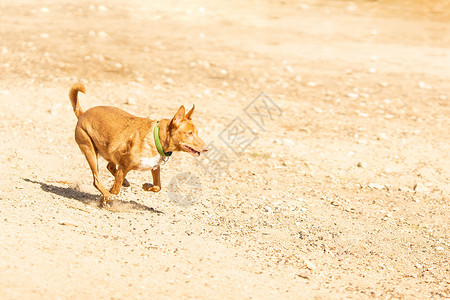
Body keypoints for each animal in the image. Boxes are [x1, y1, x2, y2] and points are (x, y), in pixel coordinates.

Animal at [69, 83, 209, 207]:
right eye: (189, 133)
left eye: (197, 132)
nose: (206, 148)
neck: (156, 138)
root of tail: (82, 114)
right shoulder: (123, 167)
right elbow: (115, 189)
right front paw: (105, 199)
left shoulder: (154, 167)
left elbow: (158, 186)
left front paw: (146, 186)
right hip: (90, 150)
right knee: (96, 180)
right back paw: (108, 194)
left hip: (110, 151)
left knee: (109, 166)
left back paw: (124, 183)